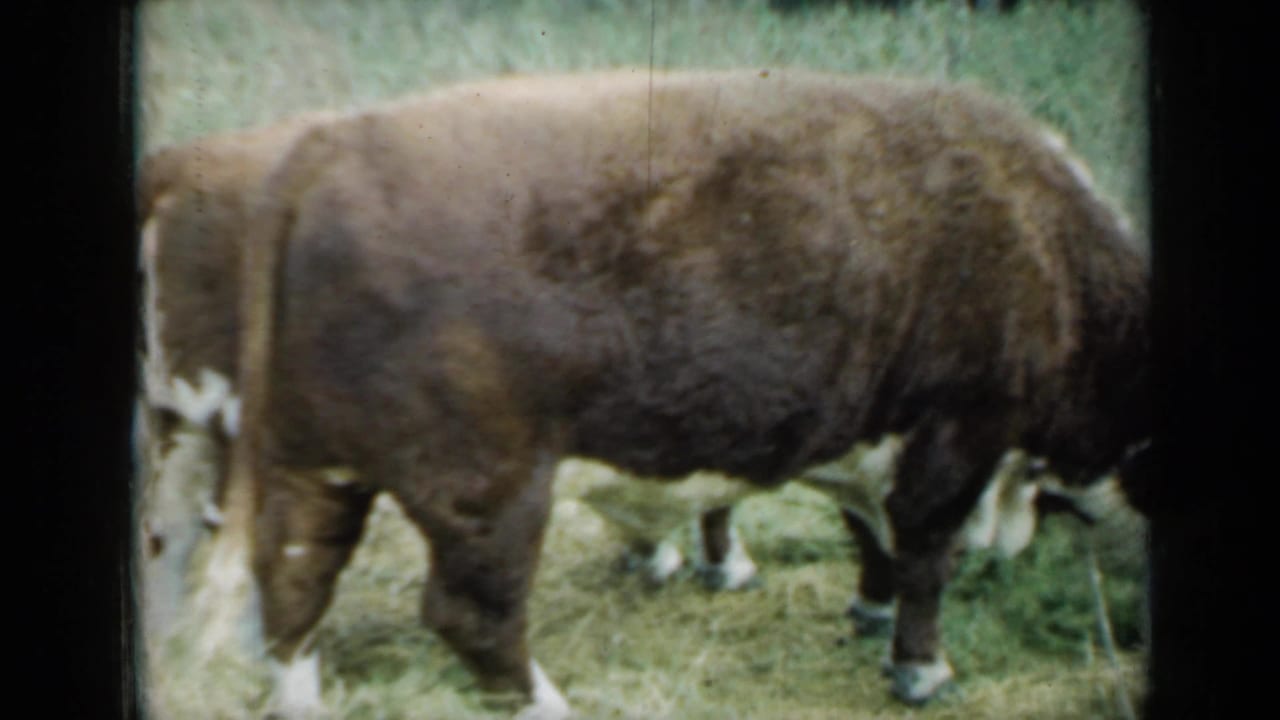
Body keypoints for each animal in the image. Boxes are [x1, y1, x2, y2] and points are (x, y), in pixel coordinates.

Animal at [219, 68, 1148, 719]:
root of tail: (328, 146)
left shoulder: (866, 431)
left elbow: (870, 532)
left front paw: (871, 612)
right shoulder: (960, 429)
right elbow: (926, 554)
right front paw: (924, 669)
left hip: (313, 465)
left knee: (294, 583)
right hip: (488, 485)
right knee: (469, 612)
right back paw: (548, 702)